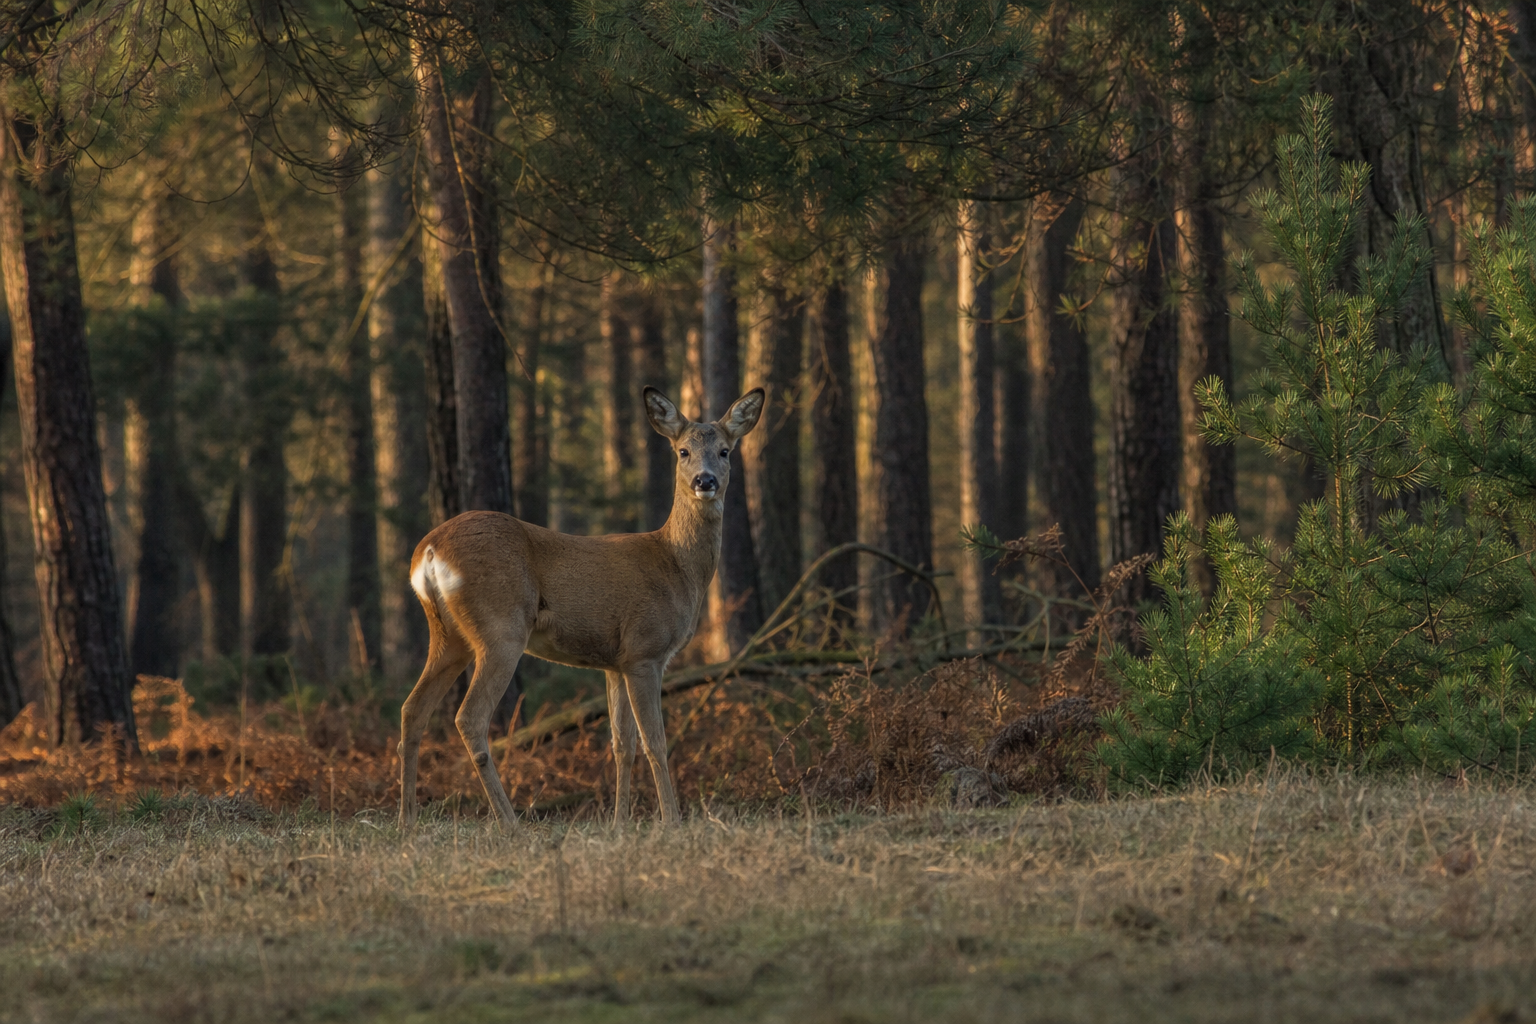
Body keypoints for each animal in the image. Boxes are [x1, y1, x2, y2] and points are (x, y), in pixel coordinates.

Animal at [399, 386, 765, 829]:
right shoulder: (645, 650)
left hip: (448, 634)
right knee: (469, 717)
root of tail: (428, 550)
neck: (676, 565)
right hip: (501, 627)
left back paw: (406, 820)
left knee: (412, 709)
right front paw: (672, 821)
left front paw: (620, 823)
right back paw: (510, 823)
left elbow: (622, 744)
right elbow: (655, 742)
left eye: (725, 451)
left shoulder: (615, 662)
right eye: (683, 451)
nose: (705, 480)